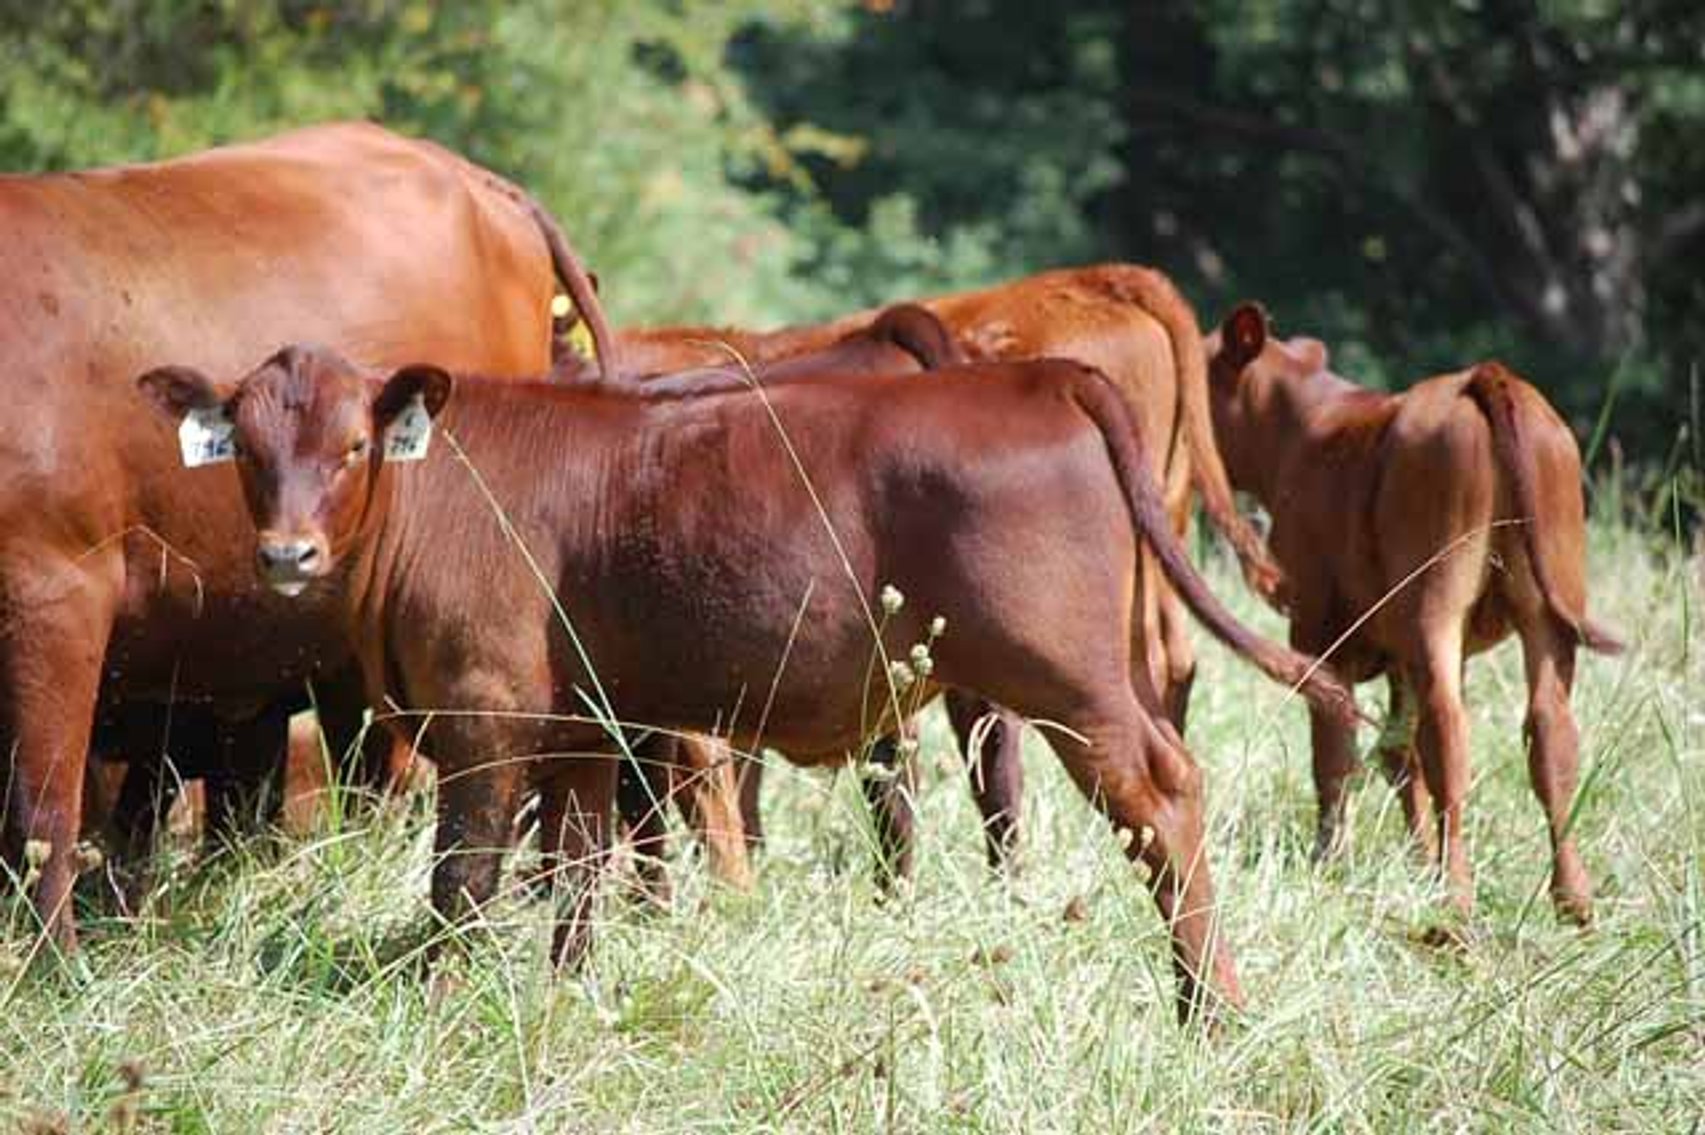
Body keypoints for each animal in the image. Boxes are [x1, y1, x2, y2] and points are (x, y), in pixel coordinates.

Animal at [137, 344, 1357, 1023]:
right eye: (249, 448)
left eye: (351, 446)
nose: (286, 553)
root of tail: (1033, 373)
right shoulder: (587, 729)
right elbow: (578, 876)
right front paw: (567, 998)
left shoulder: (484, 718)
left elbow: (462, 883)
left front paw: (439, 1002)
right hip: (1103, 673)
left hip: (1068, 678)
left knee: (1161, 794)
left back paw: (1209, 1006)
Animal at [1205, 304, 1624, 927]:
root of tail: (1484, 376)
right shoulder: (1400, 653)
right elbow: (1396, 755)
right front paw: (1418, 859)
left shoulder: (1317, 633)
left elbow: (1336, 750)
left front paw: (1329, 860)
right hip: (1546, 612)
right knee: (1550, 738)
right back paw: (1573, 899)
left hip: (1436, 605)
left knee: (1447, 736)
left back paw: (1456, 898)